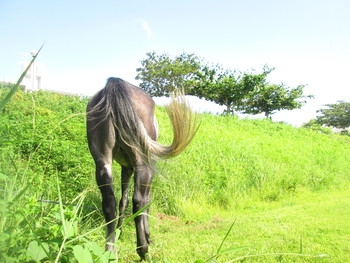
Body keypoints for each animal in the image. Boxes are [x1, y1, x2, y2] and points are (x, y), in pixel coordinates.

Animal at [86, 77, 198, 260]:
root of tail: (114, 84)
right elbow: (146, 201)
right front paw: (147, 237)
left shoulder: (126, 169)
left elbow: (122, 201)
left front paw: (120, 231)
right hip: (143, 163)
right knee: (138, 200)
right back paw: (143, 250)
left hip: (103, 161)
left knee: (110, 202)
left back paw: (110, 251)